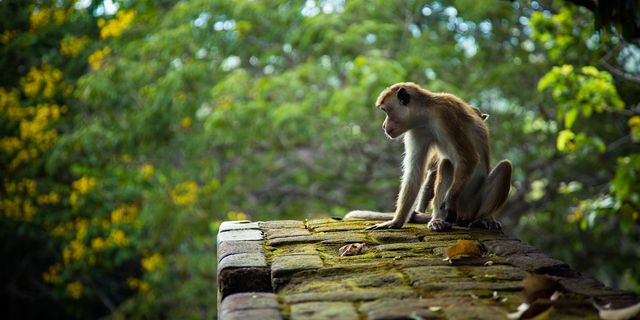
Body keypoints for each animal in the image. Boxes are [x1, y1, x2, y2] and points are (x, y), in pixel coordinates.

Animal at [344, 82, 510, 231]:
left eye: (386, 111)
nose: (384, 126)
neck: (426, 114)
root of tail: (464, 215)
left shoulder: (445, 114)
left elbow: (469, 158)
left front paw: (450, 201)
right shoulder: (417, 131)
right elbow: (414, 173)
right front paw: (396, 221)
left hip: (471, 205)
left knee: (504, 167)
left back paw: (483, 219)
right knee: (446, 164)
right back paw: (438, 220)